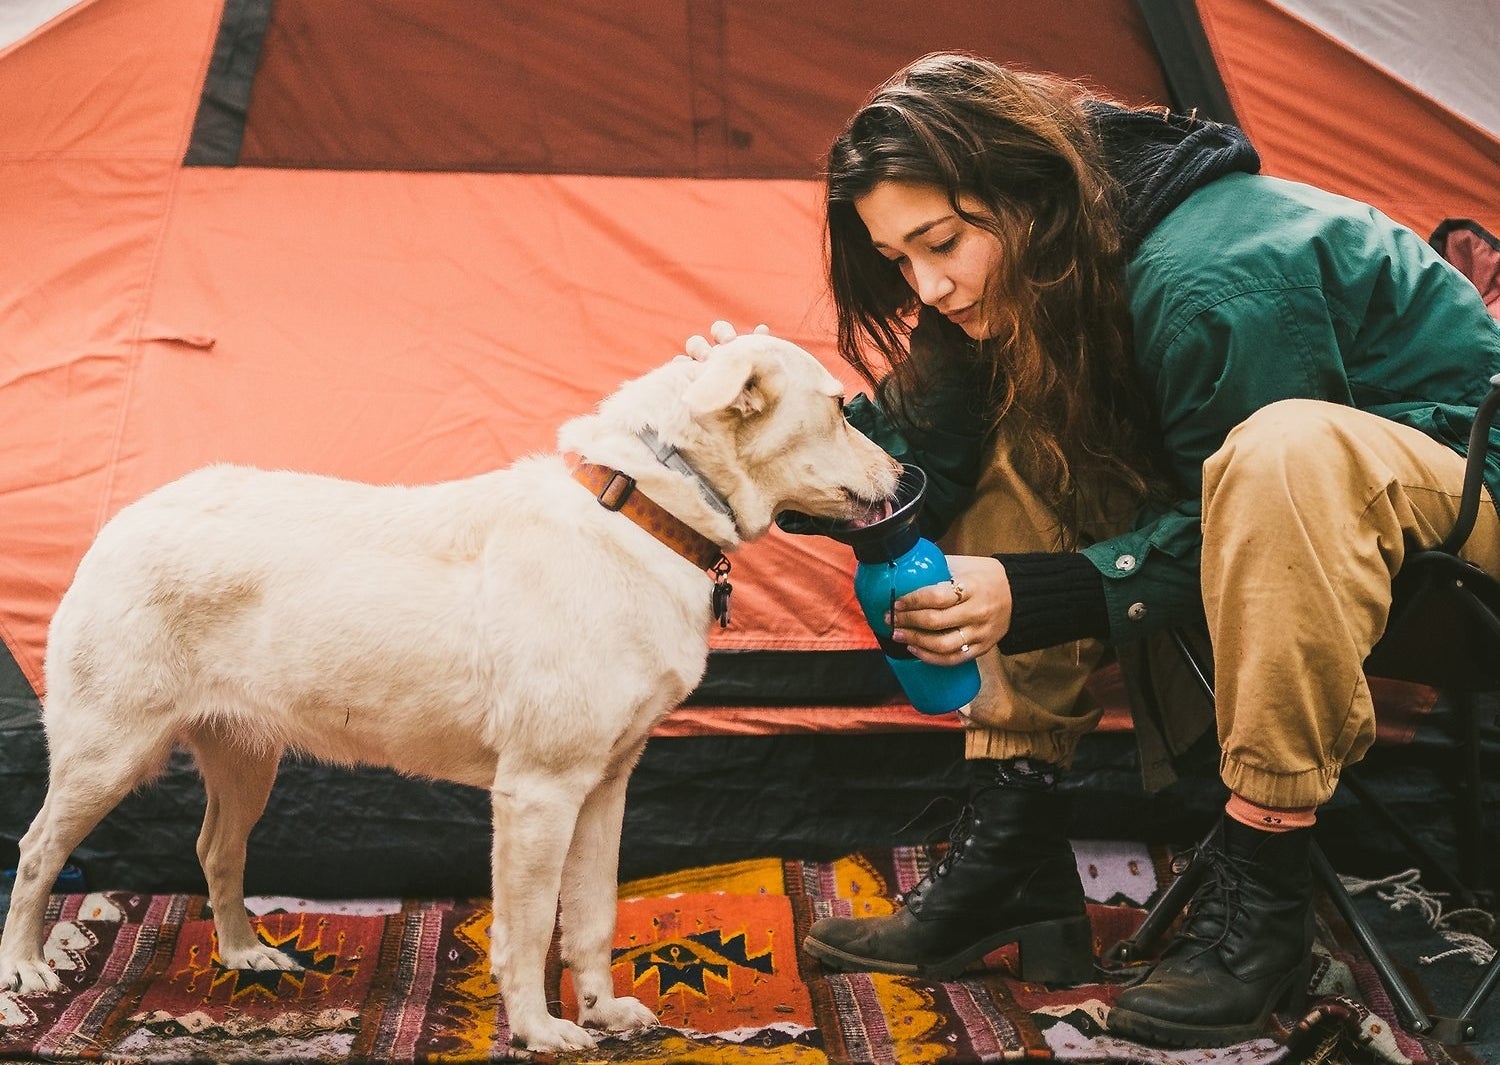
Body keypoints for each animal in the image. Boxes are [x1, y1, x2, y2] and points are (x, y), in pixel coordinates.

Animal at [0, 336, 888, 1062]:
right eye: (841, 409)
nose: (906, 474)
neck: (641, 512)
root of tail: (123, 520)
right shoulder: (538, 793)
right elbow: (526, 931)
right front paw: (538, 1029)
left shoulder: (607, 785)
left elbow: (592, 917)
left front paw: (602, 1013)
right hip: (107, 752)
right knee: (38, 851)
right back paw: (27, 968)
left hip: (247, 760)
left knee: (216, 849)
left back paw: (244, 953)